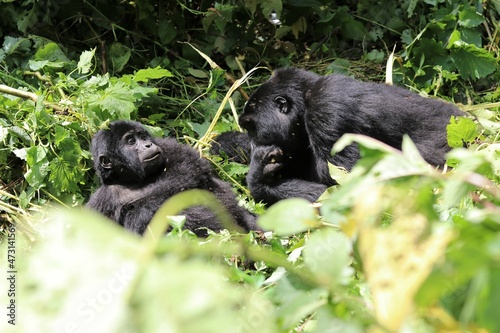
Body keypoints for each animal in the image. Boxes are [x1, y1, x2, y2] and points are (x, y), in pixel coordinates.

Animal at [87, 120, 258, 236]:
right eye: (131, 141)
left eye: (142, 136)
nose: (148, 145)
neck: (131, 180)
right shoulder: (101, 202)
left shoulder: (167, 145)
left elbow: (187, 167)